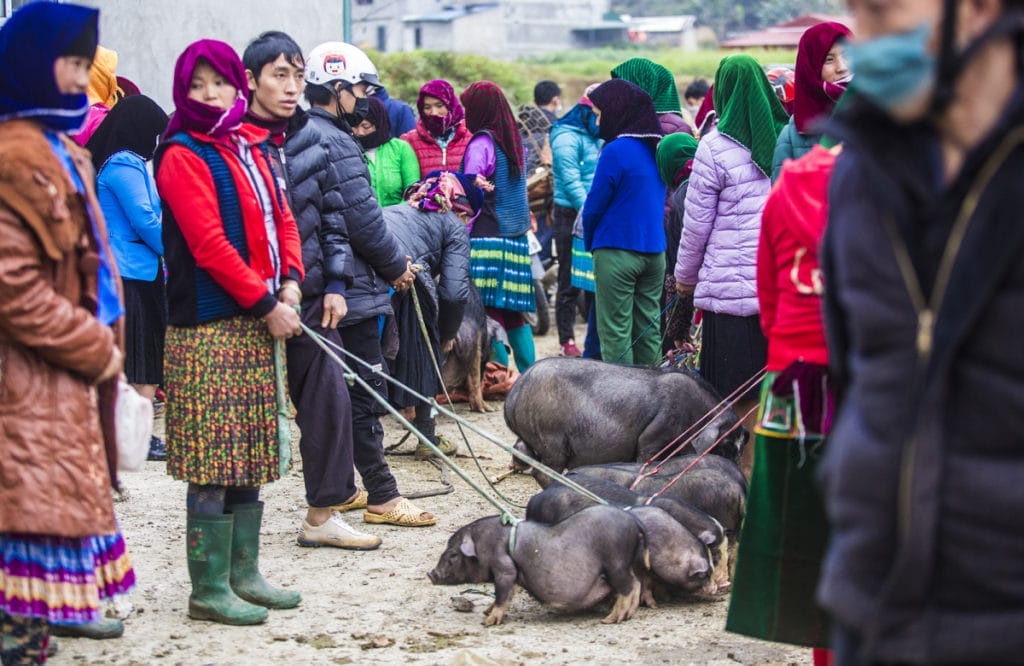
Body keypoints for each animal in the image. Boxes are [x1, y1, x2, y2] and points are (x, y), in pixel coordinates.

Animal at [428, 506, 643, 627]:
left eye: (453, 554)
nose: (431, 574)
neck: (483, 544)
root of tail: (634, 522)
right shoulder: (514, 575)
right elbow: (508, 594)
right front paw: (486, 612)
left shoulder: (504, 568)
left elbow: (502, 595)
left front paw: (487, 622)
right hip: (623, 564)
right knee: (637, 582)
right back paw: (626, 615)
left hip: (616, 562)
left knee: (629, 587)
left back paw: (611, 619)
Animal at [503, 354, 745, 469]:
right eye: (724, 448)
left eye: (739, 452)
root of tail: (512, 397)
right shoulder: (653, 438)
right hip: (550, 435)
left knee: (523, 450)